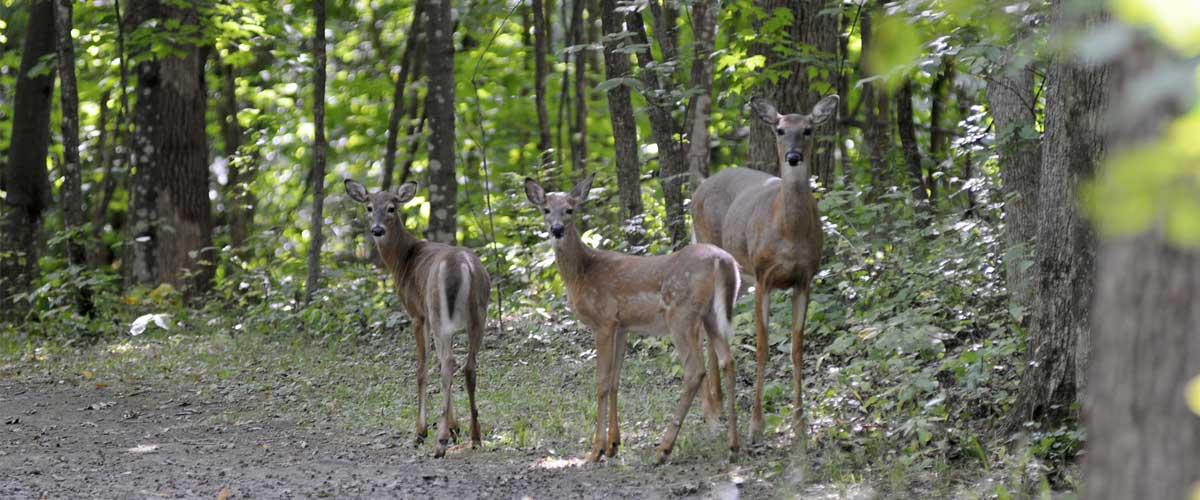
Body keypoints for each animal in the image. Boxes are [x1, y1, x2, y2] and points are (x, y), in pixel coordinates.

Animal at [344, 179, 491, 459]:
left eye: (391, 208)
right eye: (369, 207)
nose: (377, 230)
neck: (403, 260)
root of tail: (465, 267)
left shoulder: (417, 314)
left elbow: (422, 368)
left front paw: (421, 432)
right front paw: (455, 428)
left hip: (439, 311)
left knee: (449, 363)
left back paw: (440, 442)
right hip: (479, 315)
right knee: (468, 366)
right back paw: (475, 436)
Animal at [524, 173, 740, 464]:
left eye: (569, 210)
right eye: (546, 210)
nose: (557, 229)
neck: (582, 272)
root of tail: (722, 260)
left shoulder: (603, 321)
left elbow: (602, 382)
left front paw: (595, 450)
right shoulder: (622, 326)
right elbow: (616, 380)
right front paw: (614, 444)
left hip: (680, 314)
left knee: (695, 371)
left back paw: (663, 449)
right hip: (711, 315)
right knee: (728, 360)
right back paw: (733, 445)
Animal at [690, 94, 839, 443]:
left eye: (809, 129)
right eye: (781, 130)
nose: (793, 156)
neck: (788, 231)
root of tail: (700, 188)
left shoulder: (805, 280)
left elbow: (797, 348)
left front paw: (800, 424)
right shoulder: (763, 276)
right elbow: (762, 346)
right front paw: (756, 426)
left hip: (736, 276)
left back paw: (718, 405)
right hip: (712, 253)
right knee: (702, 325)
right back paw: (712, 410)